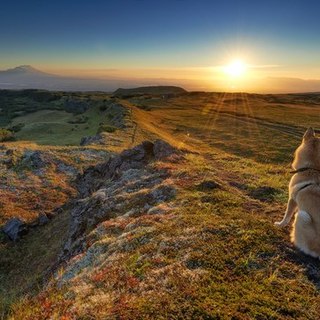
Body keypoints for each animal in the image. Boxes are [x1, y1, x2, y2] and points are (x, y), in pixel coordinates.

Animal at [274, 127, 320, 258]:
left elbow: (286, 216)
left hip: (302, 216)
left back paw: (293, 240)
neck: (312, 168)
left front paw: (280, 224)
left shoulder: (292, 199)